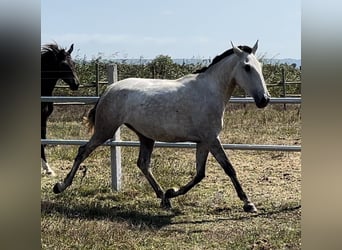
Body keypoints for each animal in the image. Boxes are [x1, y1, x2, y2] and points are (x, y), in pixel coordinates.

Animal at [41, 43, 79, 176]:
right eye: (63, 64)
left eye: (74, 63)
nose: (76, 84)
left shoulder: (44, 119)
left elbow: (43, 139)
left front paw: (47, 168)